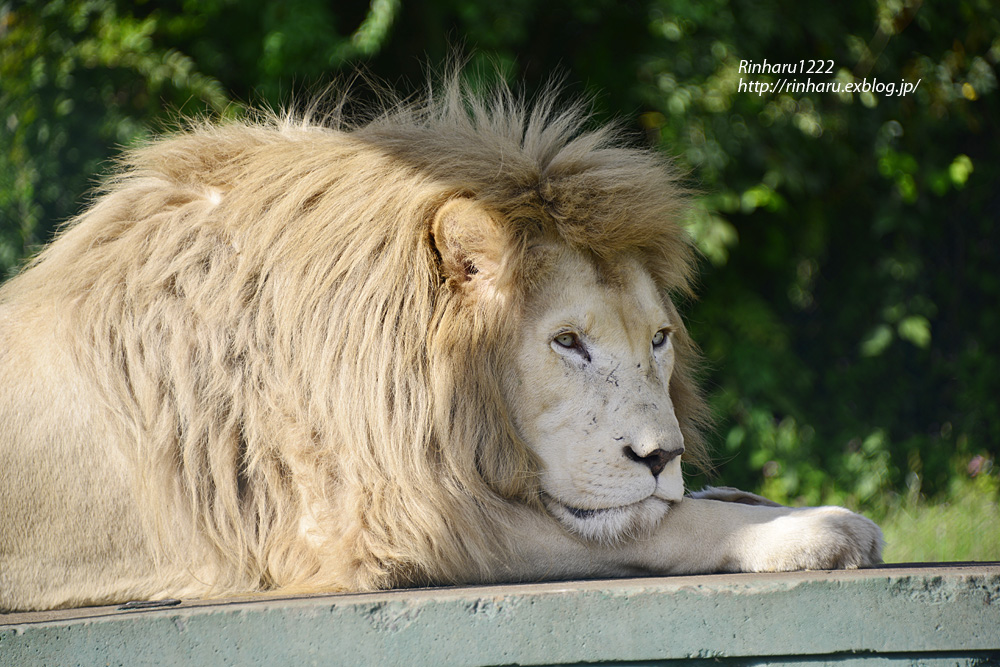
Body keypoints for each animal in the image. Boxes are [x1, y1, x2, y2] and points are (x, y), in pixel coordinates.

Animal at [0, 77, 876, 612]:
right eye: (568, 342)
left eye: (658, 339)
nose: (662, 455)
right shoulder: (397, 525)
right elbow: (660, 525)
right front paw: (818, 527)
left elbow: (674, 505)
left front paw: (749, 497)